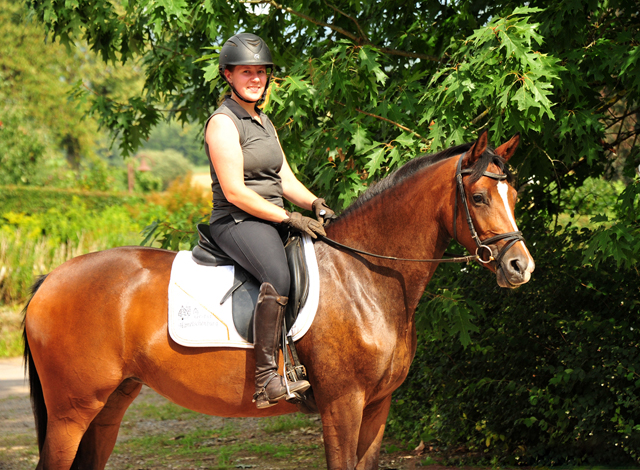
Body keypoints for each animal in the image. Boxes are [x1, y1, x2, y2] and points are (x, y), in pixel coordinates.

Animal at [21, 131, 536, 470]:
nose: (520, 267)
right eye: (479, 197)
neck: (365, 277)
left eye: (513, 195)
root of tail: (50, 279)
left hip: (109, 406)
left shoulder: (378, 406)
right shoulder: (342, 404)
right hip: (71, 412)